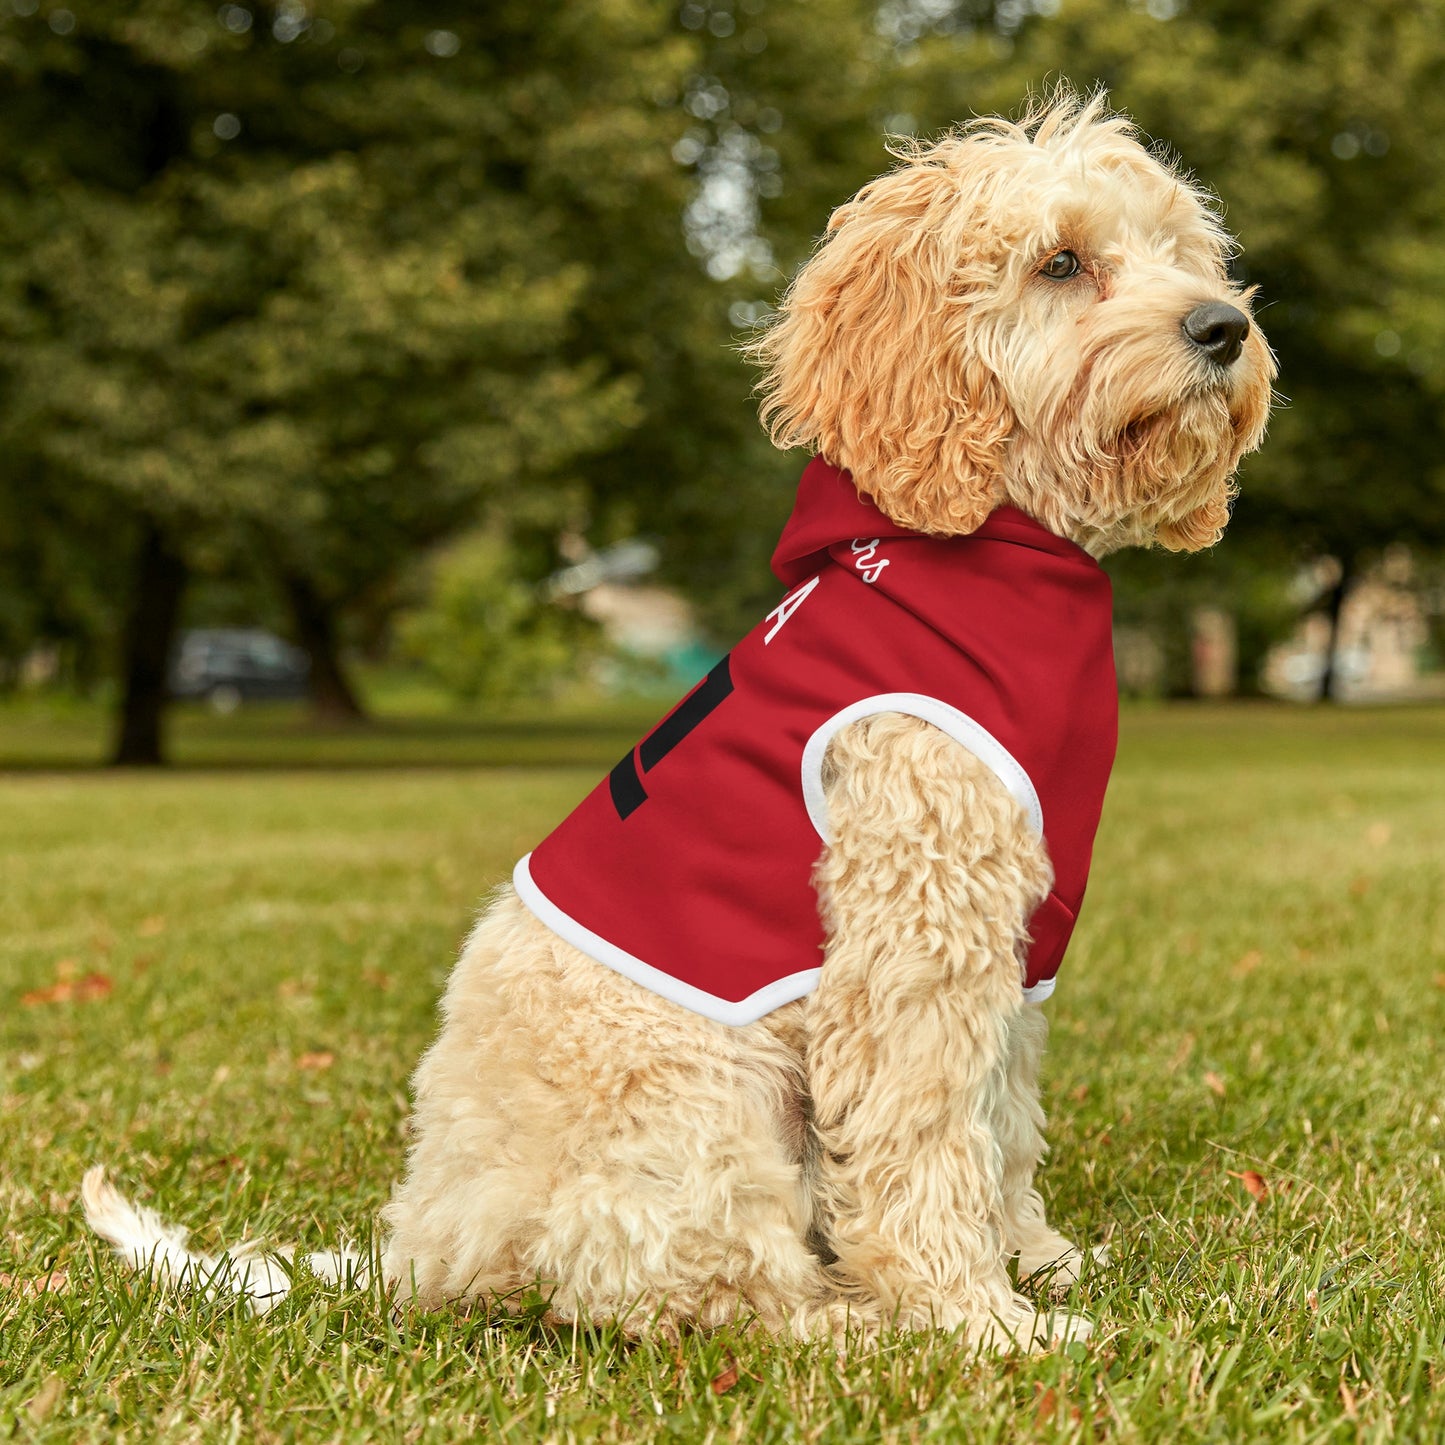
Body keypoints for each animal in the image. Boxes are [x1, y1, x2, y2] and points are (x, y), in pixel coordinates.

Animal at [84, 93, 1271, 1352]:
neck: (990, 548)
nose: (1222, 327)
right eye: (1059, 262)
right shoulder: (913, 935)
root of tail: (424, 1245)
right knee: (698, 1290)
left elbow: (998, 1121)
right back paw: (852, 1322)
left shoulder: (1011, 943)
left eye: (1180, 252)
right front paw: (976, 1318)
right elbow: (924, 1138)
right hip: (704, 1101)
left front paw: (1034, 1260)